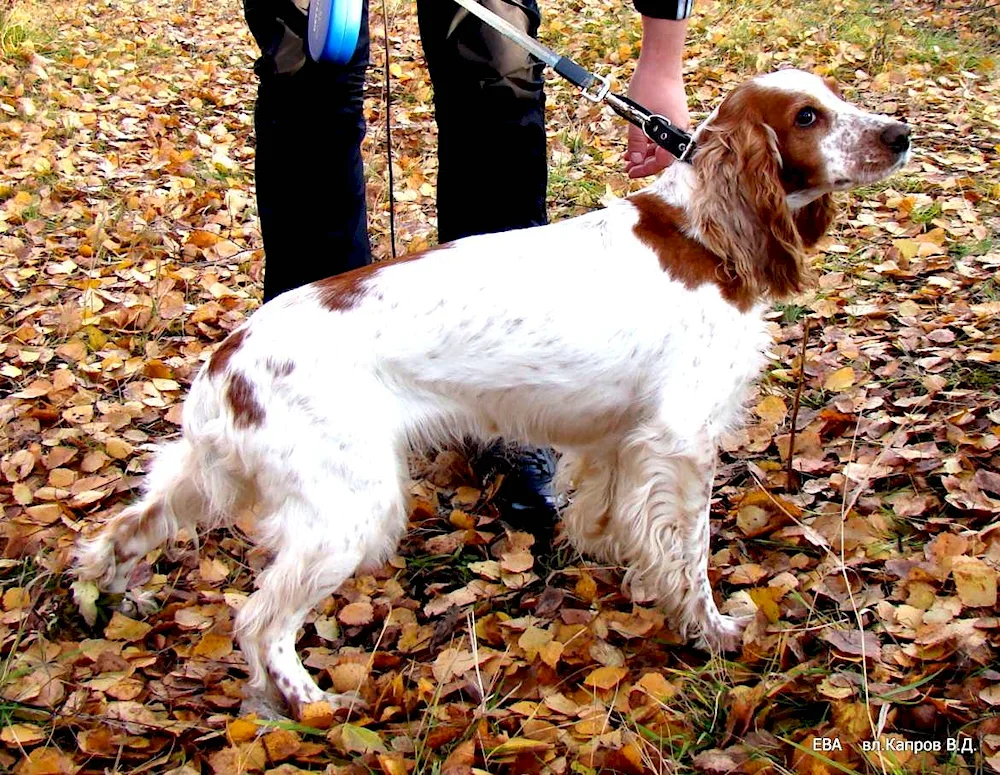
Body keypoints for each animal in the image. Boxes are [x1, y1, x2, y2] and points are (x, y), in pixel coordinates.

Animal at [74, 69, 912, 720]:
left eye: (834, 99)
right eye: (807, 117)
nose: (900, 133)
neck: (704, 232)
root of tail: (229, 360)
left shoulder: (623, 438)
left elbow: (615, 519)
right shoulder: (682, 441)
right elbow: (691, 554)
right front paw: (709, 630)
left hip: (211, 475)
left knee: (124, 531)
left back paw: (105, 594)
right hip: (349, 509)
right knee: (258, 621)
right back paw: (307, 703)